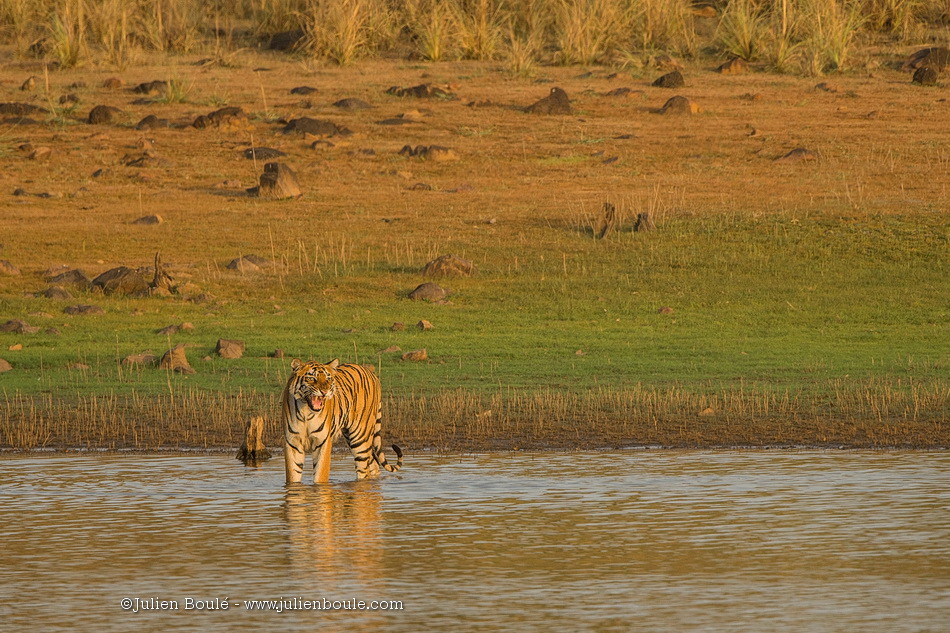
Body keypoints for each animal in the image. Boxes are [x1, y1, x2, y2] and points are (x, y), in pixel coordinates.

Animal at [280, 356, 404, 484]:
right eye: (311, 378)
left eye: (328, 379)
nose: (325, 392)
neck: (306, 412)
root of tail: (372, 374)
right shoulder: (292, 442)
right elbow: (293, 476)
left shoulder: (323, 442)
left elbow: (320, 475)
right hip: (350, 435)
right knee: (374, 463)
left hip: (360, 437)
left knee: (364, 469)